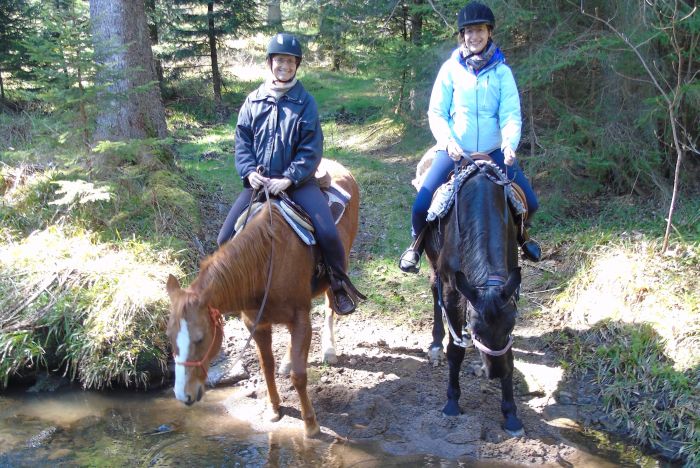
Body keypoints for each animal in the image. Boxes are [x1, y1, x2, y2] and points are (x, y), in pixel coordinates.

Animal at [166, 159, 358, 436]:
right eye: (169, 337)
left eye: (200, 339)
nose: (183, 395)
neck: (266, 263)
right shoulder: (255, 324)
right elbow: (266, 365)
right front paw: (274, 409)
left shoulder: (300, 317)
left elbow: (299, 375)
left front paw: (311, 425)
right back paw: (288, 361)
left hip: (339, 264)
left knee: (332, 305)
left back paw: (329, 350)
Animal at [424, 161, 524, 436]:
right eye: (478, 331)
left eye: (509, 327)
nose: (496, 372)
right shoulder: (451, 290)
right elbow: (455, 349)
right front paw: (452, 402)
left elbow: (510, 354)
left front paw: (511, 415)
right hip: (433, 264)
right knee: (433, 289)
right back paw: (435, 344)